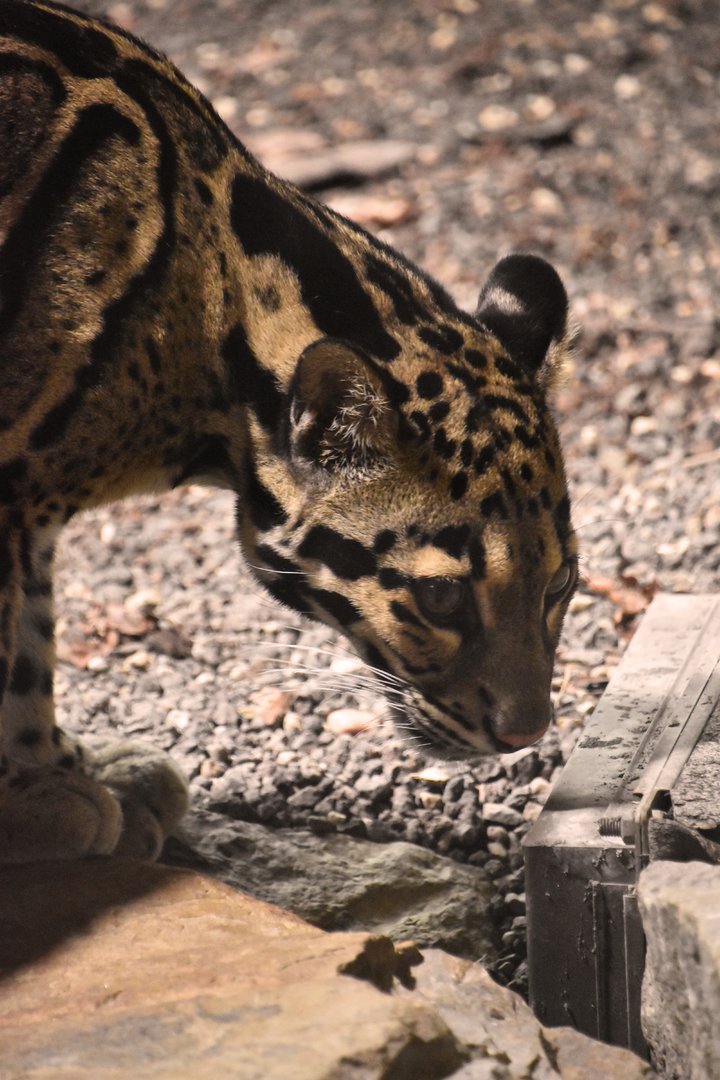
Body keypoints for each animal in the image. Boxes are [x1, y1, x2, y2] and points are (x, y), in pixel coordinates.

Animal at [0, 0, 578, 863]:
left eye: (562, 583)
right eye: (440, 598)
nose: (527, 735)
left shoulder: (27, 493)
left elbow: (30, 633)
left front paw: (67, 770)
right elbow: (10, 637)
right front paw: (31, 798)